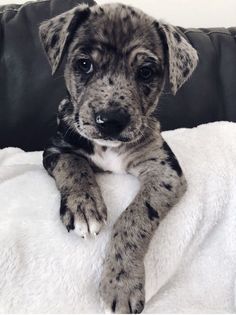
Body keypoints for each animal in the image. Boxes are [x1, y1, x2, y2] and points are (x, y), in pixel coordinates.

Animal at [39, 3, 198, 314]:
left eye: (146, 72)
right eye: (84, 64)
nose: (110, 121)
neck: (107, 147)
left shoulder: (165, 170)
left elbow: (136, 216)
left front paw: (121, 282)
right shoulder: (55, 149)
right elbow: (74, 164)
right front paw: (84, 208)